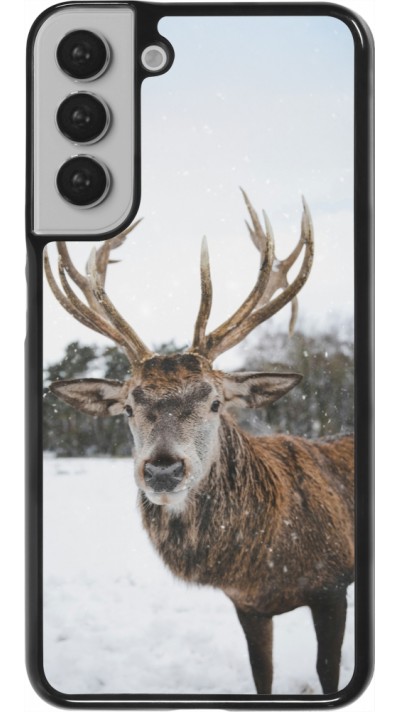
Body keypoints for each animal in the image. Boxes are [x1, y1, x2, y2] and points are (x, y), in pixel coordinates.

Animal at [44, 190, 354, 695]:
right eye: (128, 407)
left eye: (214, 402)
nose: (163, 469)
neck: (265, 564)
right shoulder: (247, 605)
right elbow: (261, 676)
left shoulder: (333, 584)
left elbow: (328, 672)